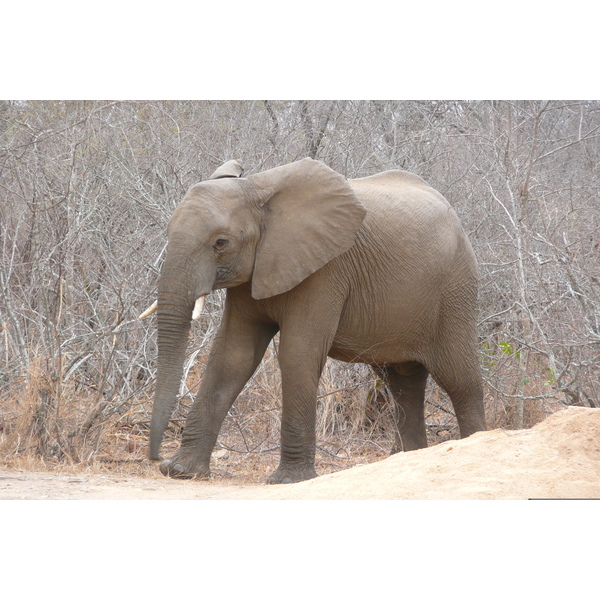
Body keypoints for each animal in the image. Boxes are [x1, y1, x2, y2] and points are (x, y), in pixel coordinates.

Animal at [141, 156, 488, 482]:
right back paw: (404, 458)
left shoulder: (325, 270)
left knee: (459, 378)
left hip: (454, 290)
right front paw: (182, 472)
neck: (257, 189)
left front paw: (287, 480)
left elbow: (297, 354)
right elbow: (232, 355)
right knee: (402, 382)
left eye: (220, 242)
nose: (156, 458)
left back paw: (473, 442)